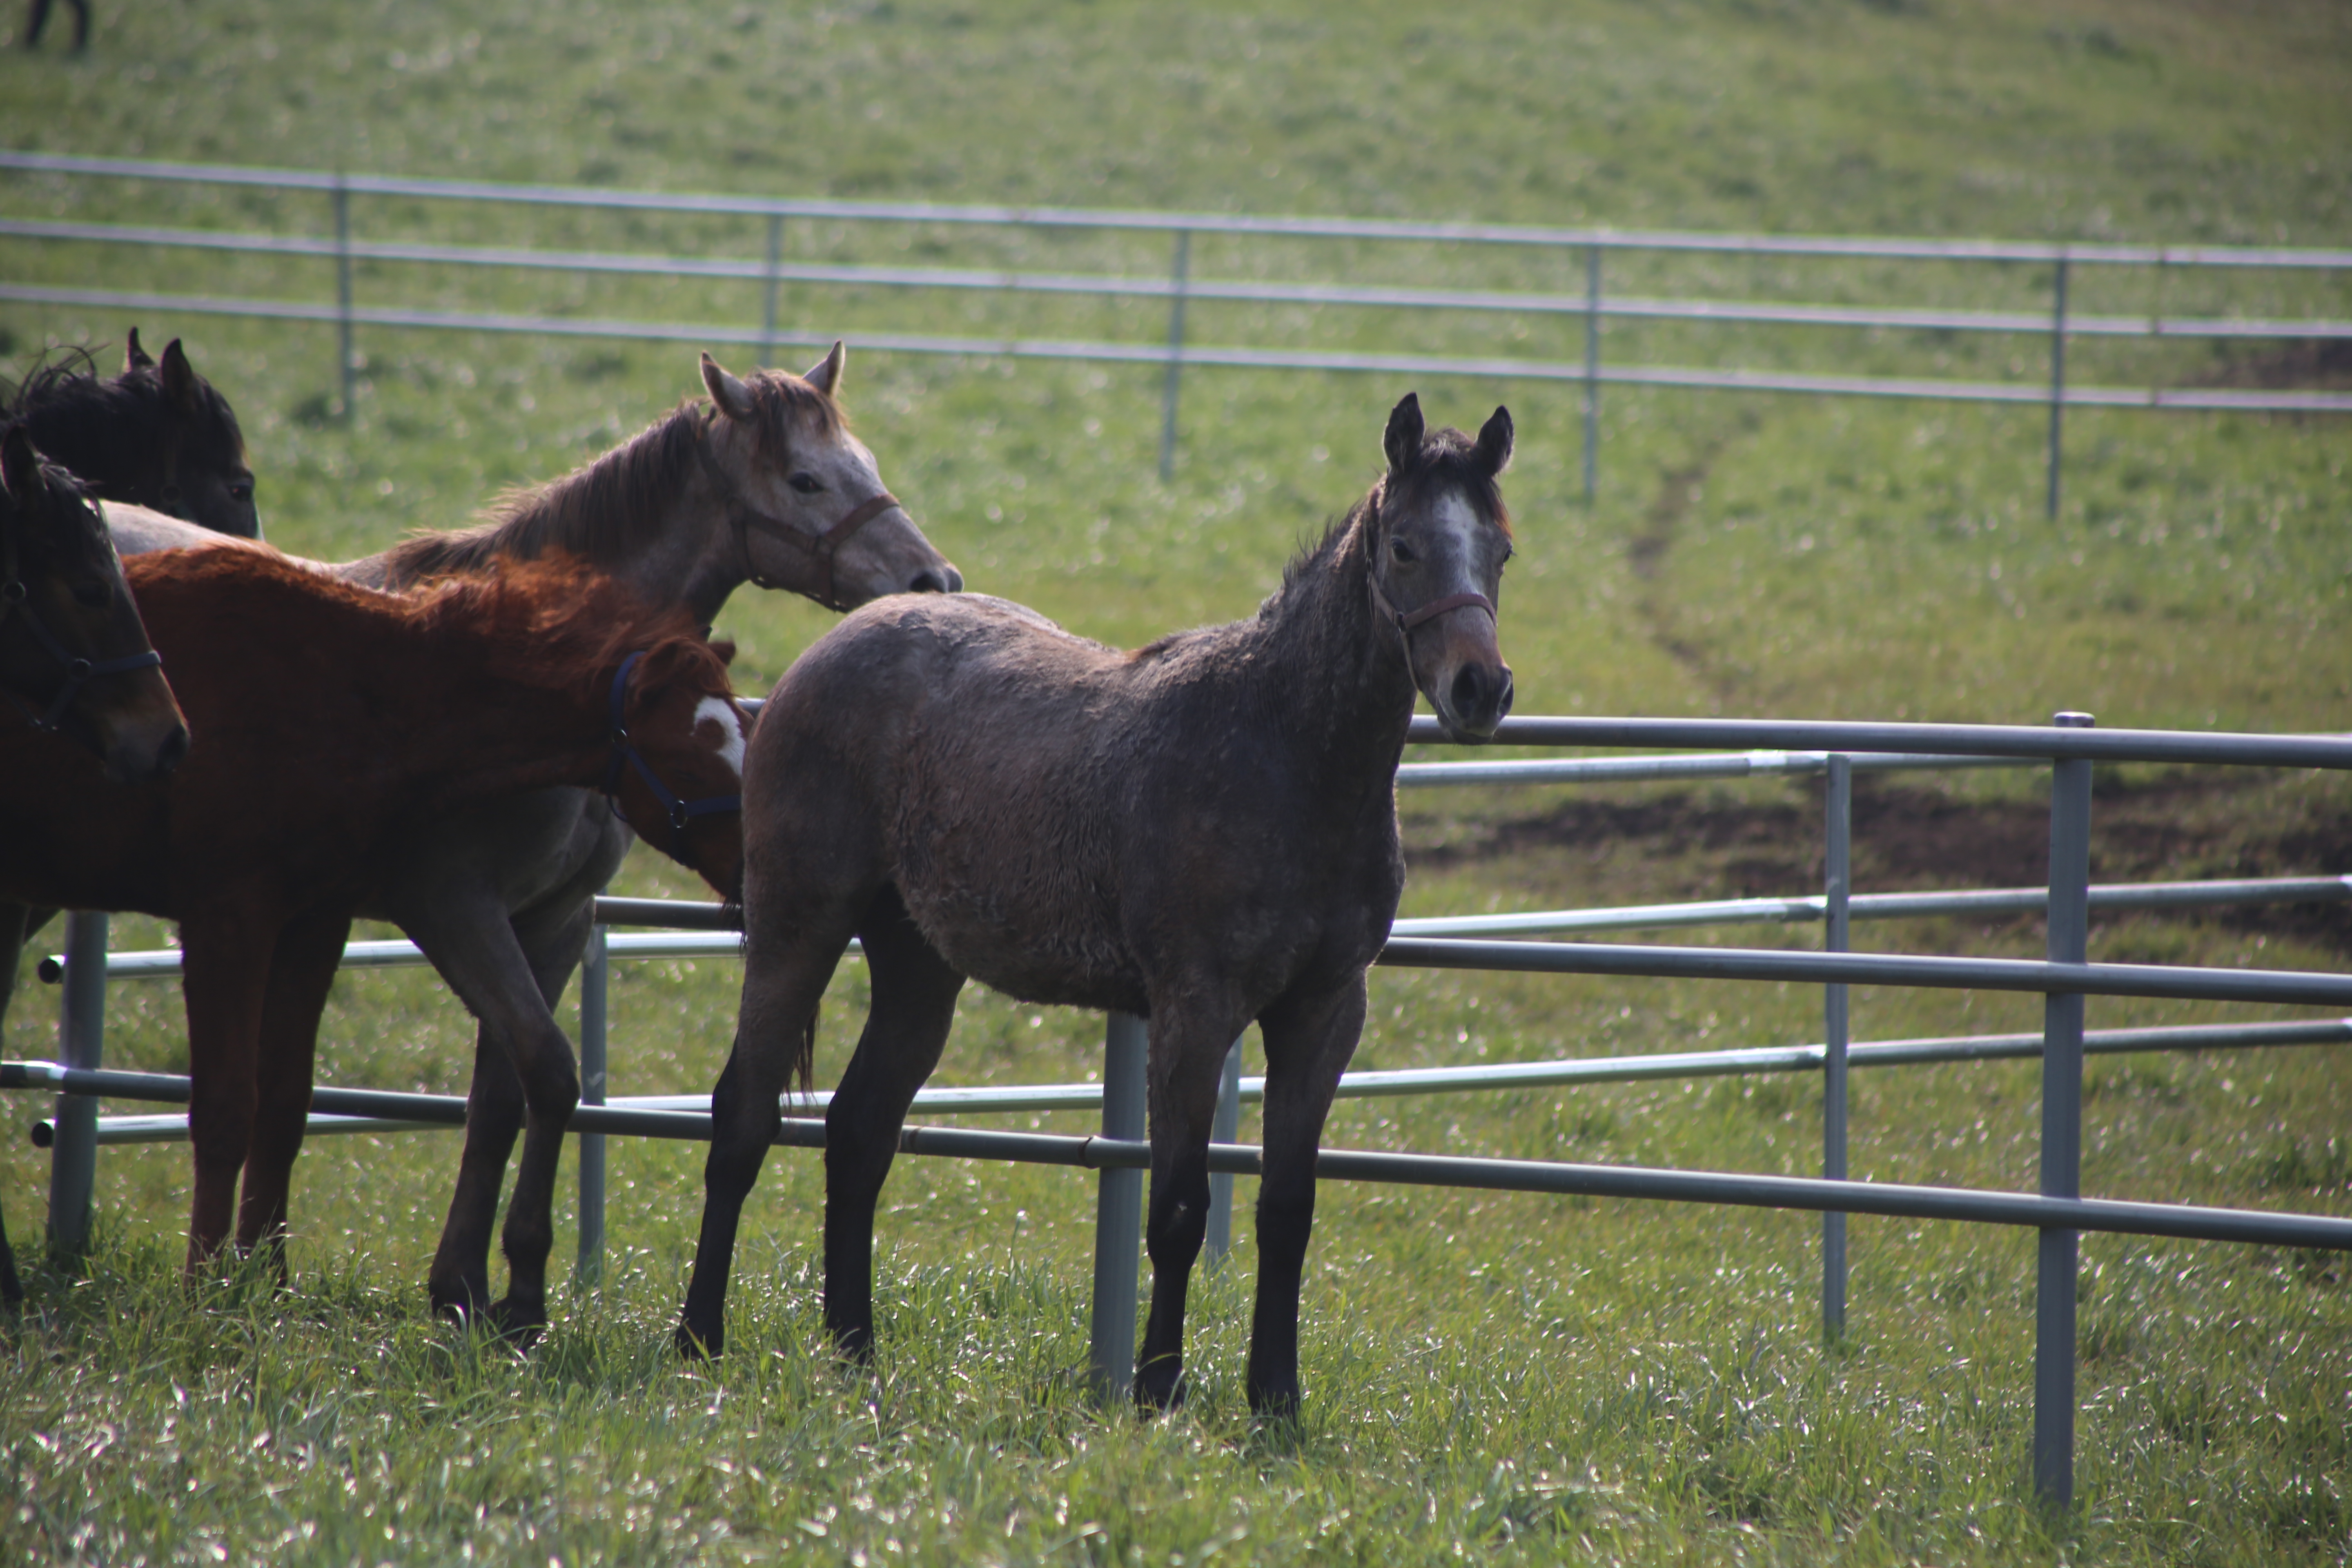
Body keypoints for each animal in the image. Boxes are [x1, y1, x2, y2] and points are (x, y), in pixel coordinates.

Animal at [0, 545, 743, 1278]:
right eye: (691, 763)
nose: (758, 861)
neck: (356, 686)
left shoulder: (317, 921)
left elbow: (287, 1101)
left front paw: (267, 1280)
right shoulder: (234, 917)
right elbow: (225, 1109)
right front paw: (207, 1284)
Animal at [677, 392, 1524, 1420]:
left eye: (1500, 550)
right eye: (1403, 547)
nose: (1480, 689)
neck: (1285, 754)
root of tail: (835, 643)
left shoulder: (1325, 1012)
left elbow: (1287, 1208)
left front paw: (1275, 1399)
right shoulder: (1194, 1010)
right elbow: (1179, 1207)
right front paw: (1157, 1389)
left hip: (918, 966)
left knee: (859, 1130)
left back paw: (854, 1347)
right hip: (797, 925)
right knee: (742, 1115)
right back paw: (697, 1337)